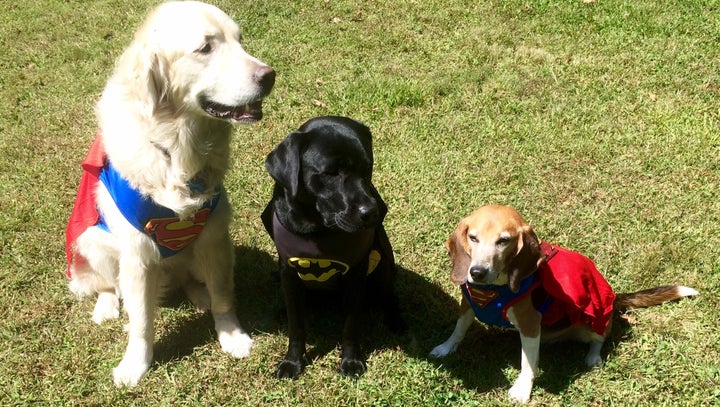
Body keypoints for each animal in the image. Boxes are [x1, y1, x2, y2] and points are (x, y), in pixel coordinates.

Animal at [65, 1, 276, 388]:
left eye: (240, 40)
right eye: (205, 48)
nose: (269, 76)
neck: (176, 147)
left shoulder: (214, 234)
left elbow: (224, 294)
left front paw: (231, 335)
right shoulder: (136, 254)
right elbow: (141, 321)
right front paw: (135, 364)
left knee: (191, 279)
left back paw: (199, 295)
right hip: (91, 240)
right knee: (108, 285)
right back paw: (106, 306)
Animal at [262, 115, 402, 380]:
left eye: (368, 168)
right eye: (331, 173)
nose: (373, 212)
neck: (317, 229)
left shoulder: (356, 274)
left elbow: (350, 325)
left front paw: (351, 360)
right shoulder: (288, 272)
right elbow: (296, 326)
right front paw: (293, 362)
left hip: (382, 264)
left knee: (390, 293)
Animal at [430, 207, 696, 404]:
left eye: (503, 241)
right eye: (473, 237)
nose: (476, 272)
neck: (494, 289)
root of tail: (615, 297)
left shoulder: (530, 324)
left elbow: (528, 363)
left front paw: (522, 389)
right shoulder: (467, 305)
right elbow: (459, 329)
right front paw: (446, 348)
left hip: (592, 320)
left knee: (599, 339)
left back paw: (593, 357)